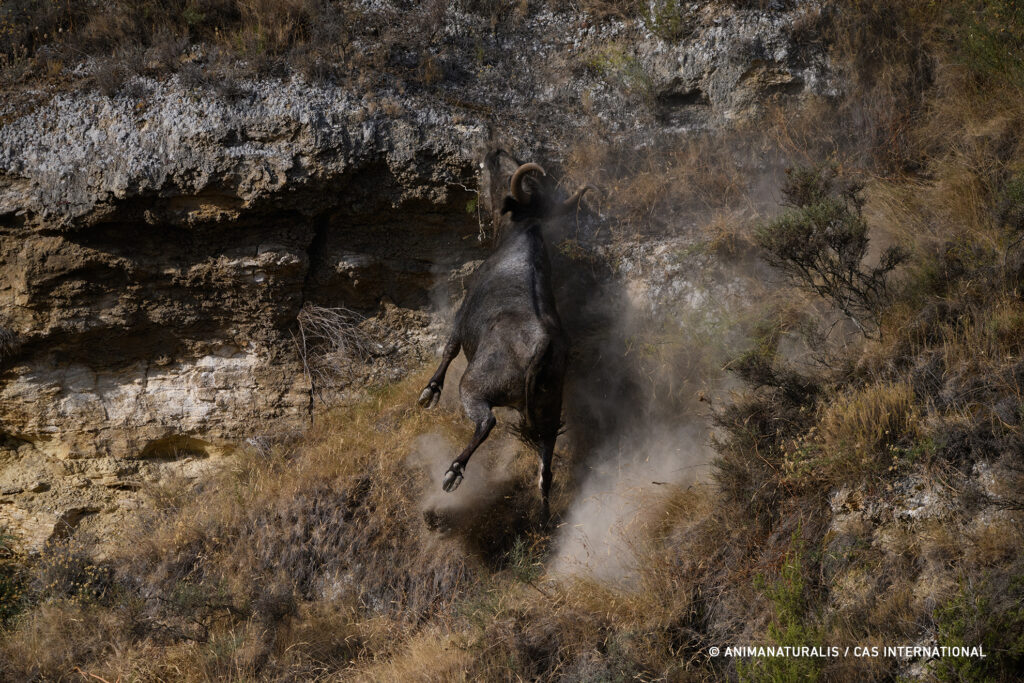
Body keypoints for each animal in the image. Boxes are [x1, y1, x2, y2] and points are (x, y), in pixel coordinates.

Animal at [418, 151, 590, 519]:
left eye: (501, 173)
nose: (492, 153)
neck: (520, 239)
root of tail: (543, 347)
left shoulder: (462, 315)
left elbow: (449, 349)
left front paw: (429, 393)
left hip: (475, 388)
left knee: (486, 423)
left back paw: (453, 473)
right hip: (549, 408)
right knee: (546, 460)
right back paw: (543, 509)